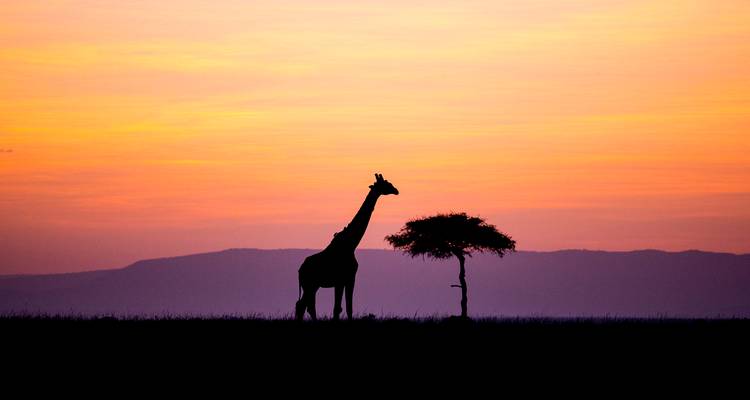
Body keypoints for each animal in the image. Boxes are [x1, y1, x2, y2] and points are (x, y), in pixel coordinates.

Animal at [295, 173, 399, 321]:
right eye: (386, 184)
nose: (396, 190)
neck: (351, 244)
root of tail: (300, 270)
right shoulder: (344, 279)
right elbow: (340, 308)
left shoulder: (346, 279)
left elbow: (346, 308)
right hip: (309, 284)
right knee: (303, 305)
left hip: (313, 285)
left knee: (305, 305)